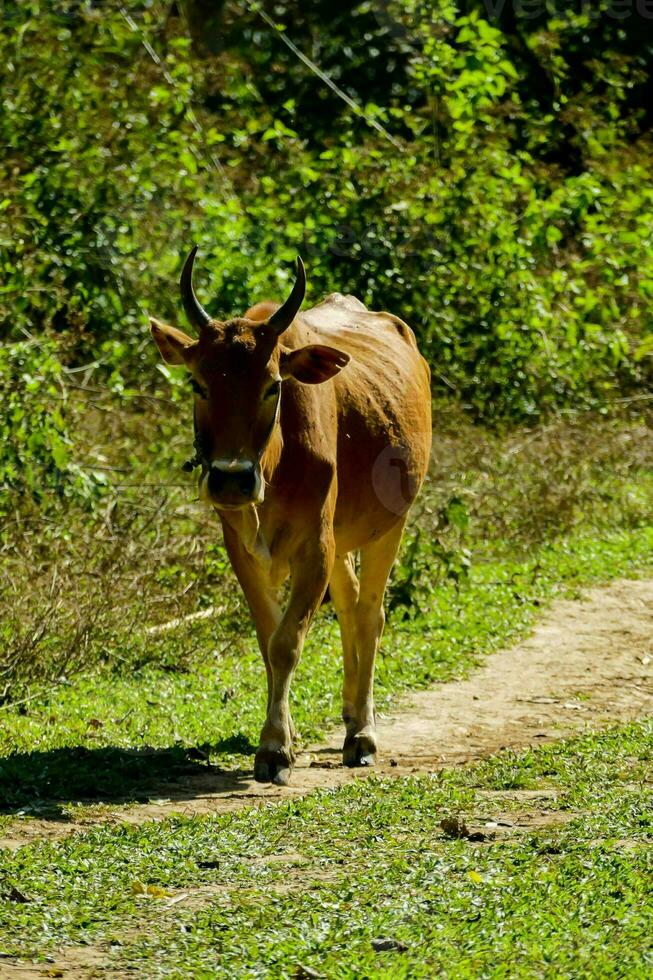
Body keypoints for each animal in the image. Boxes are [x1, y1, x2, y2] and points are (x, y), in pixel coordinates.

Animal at [150, 249, 430, 784]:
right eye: (198, 382)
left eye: (272, 386)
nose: (231, 479)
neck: (274, 465)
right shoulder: (242, 549)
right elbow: (268, 639)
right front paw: (286, 736)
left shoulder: (314, 548)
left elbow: (287, 642)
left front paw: (276, 748)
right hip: (343, 541)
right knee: (349, 606)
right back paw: (349, 713)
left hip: (390, 524)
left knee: (370, 613)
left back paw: (362, 733)